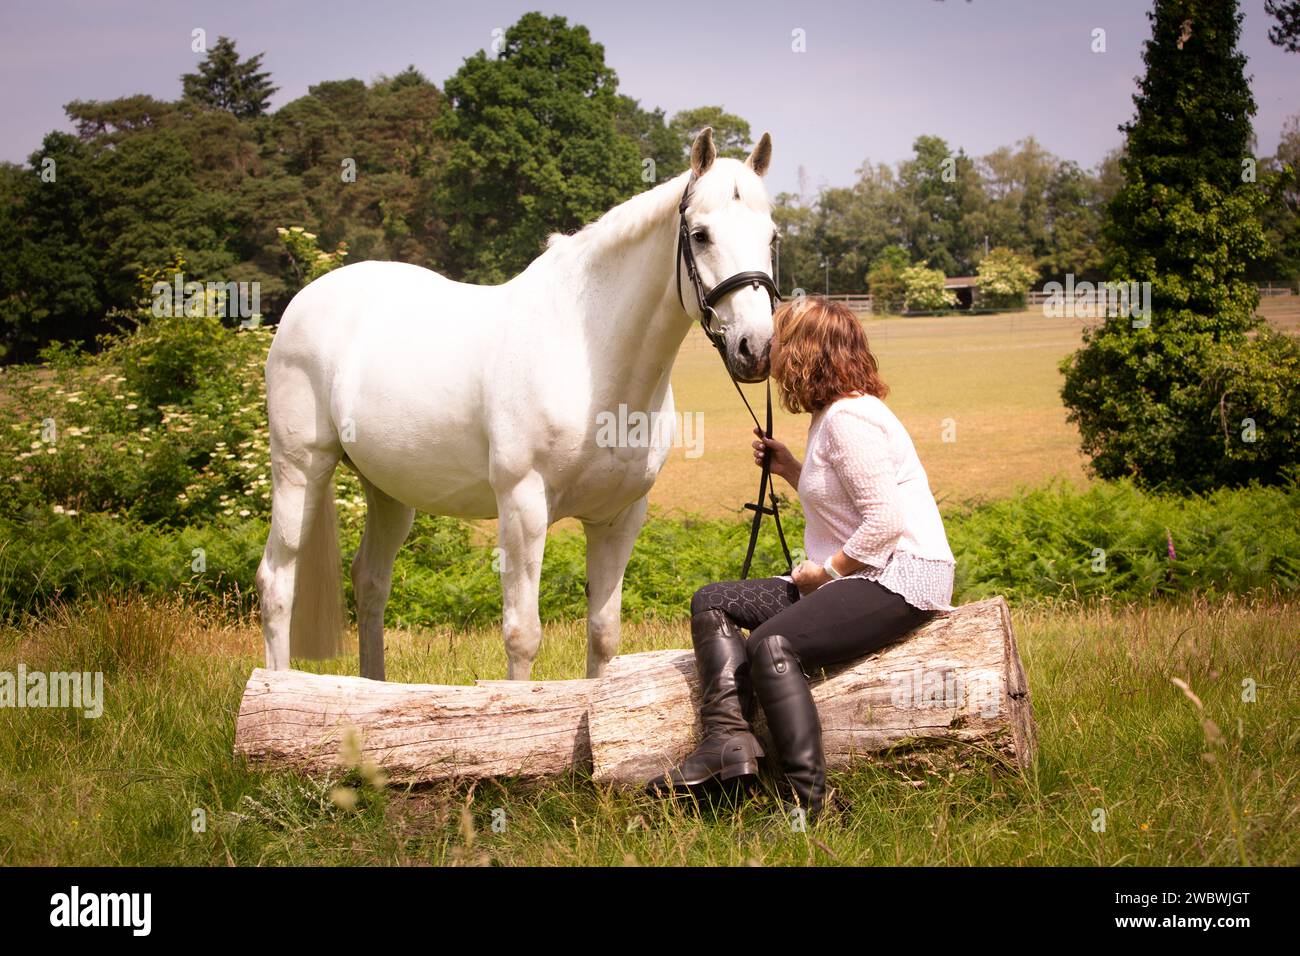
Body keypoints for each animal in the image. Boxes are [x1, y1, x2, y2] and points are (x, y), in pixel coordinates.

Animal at [255, 127, 779, 682]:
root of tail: (304, 302)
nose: (755, 348)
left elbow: (604, 635)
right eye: (700, 235)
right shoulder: (523, 506)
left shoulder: (618, 518)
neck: (589, 356)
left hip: (388, 491)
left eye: (771, 238)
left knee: (371, 581)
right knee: (277, 581)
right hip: (300, 470)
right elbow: (522, 635)